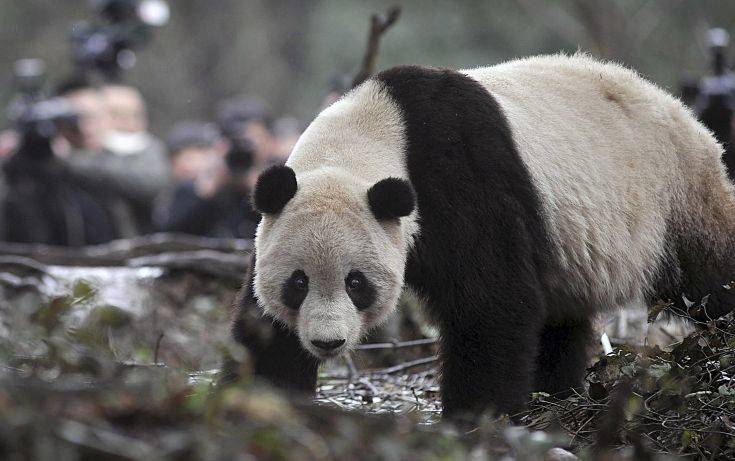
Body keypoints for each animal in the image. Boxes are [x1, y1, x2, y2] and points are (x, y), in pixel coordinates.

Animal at [233, 52, 735, 418]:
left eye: (356, 282)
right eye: (298, 282)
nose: (327, 342)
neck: (375, 134)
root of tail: (684, 113)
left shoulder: (462, 178)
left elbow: (491, 302)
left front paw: (476, 416)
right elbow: (265, 324)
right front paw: (265, 393)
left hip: (676, 196)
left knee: (710, 276)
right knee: (561, 320)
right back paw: (553, 392)